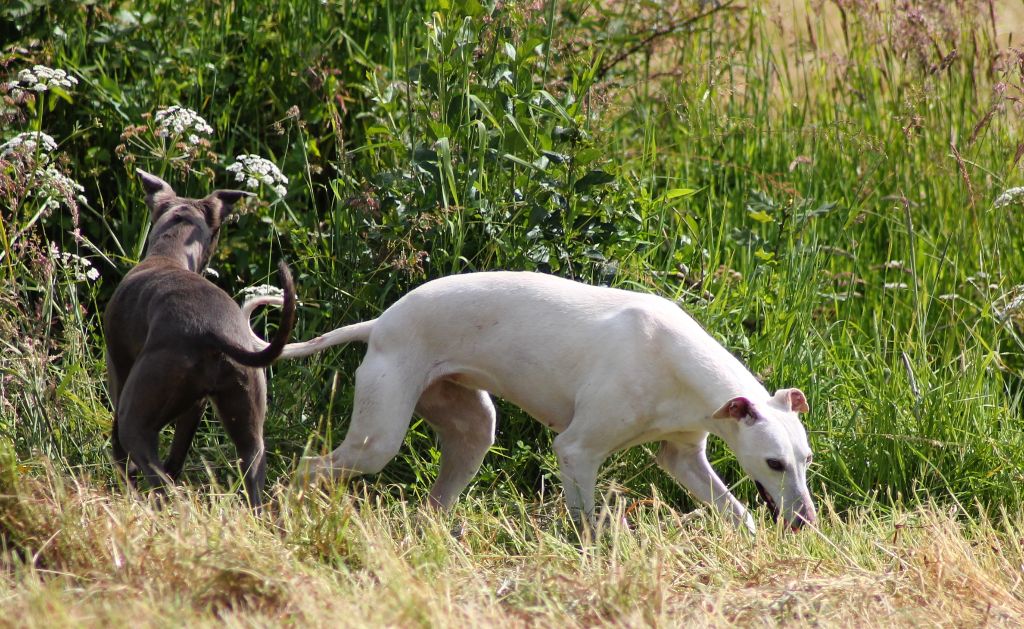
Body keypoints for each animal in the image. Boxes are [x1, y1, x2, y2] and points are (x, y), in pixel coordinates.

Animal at [103, 170, 296, 510]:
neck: (169, 255)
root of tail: (211, 330)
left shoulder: (119, 374)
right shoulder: (195, 408)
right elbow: (177, 456)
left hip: (136, 416)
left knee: (161, 482)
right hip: (248, 429)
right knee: (252, 481)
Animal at [247, 270, 815, 532]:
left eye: (806, 460)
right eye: (774, 462)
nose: (807, 522)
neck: (670, 355)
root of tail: (379, 323)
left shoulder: (682, 456)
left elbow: (737, 514)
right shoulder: (577, 451)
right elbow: (587, 523)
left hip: (473, 430)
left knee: (435, 500)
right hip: (377, 440)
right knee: (311, 467)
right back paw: (282, 516)